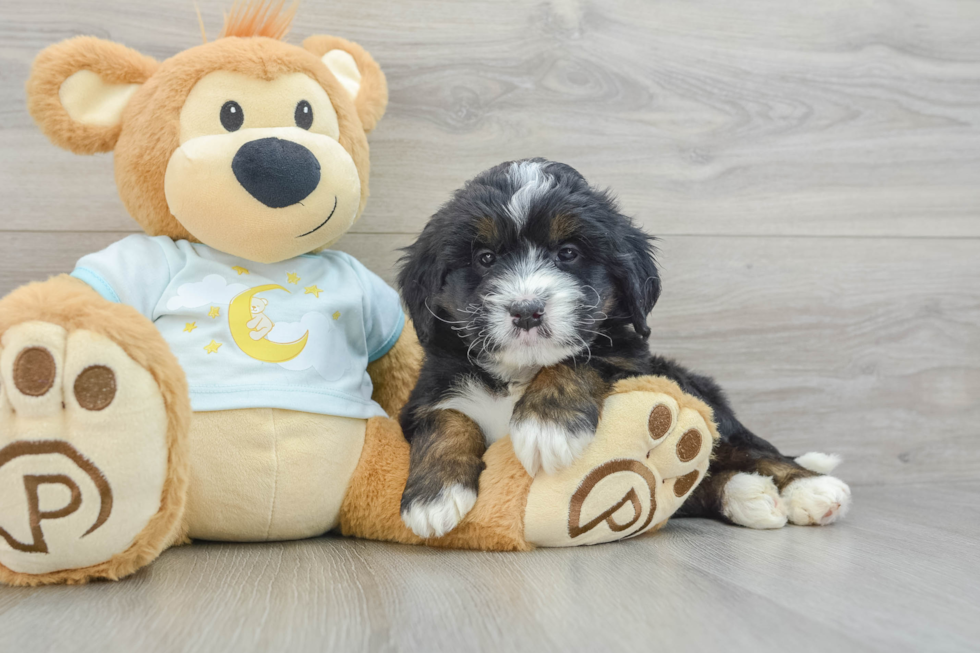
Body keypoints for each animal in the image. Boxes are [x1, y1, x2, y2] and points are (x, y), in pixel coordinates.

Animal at [396, 158, 848, 536]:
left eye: (568, 253)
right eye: (486, 258)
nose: (526, 311)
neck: (520, 371)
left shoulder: (631, 361)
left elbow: (582, 359)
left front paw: (547, 425)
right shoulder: (426, 394)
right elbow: (447, 420)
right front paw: (434, 497)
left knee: (751, 447)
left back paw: (812, 489)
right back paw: (748, 495)